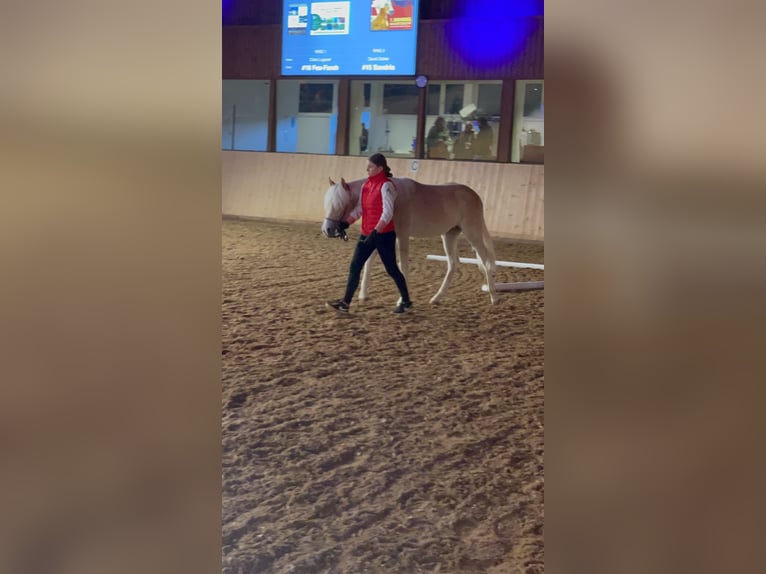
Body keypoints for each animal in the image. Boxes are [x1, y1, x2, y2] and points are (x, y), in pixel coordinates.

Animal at [320, 178, 500, 306]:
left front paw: (402, 300)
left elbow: (403, 266)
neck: (392, 199)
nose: (327, 229)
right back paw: (436, 298)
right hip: (449, 235)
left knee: (485, 260)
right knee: (453, 265)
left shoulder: (402, 236)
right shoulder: (378, 237)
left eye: (340, 204)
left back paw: (493, 296)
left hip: (472, 233)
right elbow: (368, 262)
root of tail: (475, 195)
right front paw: (363, 295)